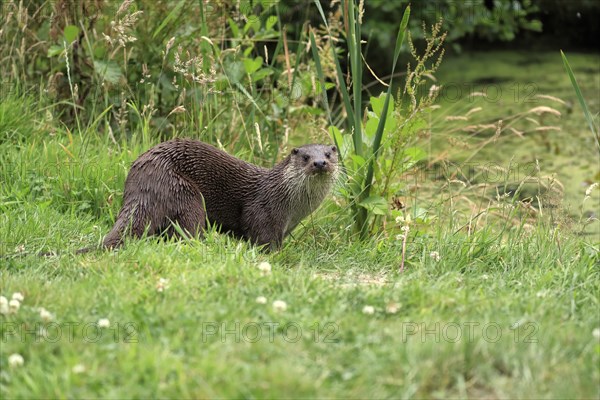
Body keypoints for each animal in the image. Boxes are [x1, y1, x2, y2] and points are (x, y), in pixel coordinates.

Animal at [103, 139, 338, 248]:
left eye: (328, 154)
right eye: (305, 157)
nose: (319, 163)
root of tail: (142, 184)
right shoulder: (264, 214)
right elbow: (263, 242)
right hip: (185, 193)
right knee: (186, 231)